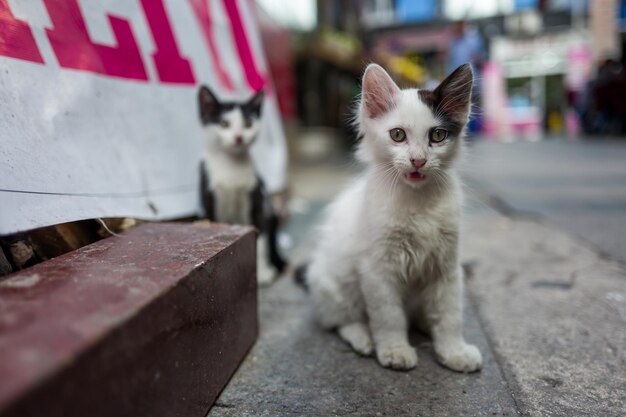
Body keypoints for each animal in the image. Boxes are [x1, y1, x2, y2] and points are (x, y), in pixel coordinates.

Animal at [197, 86, 286, 284]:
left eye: (248, 123)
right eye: (224, 124)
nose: (238, 137)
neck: (232, 166)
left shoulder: (257, 198)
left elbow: (259, 237)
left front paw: (262, 272)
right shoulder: (209, 196)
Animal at [304, 62, 480, 370]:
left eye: (437, 135)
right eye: (397, 135)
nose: (418, 160)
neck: (417, 201)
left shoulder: (446, 266)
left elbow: (449, 314)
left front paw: (454, 351)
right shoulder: (378, 269)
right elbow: (388, 316)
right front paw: (395, 350)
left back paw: (424, 323)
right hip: (334, 286)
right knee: (341, 321)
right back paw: (363, 338)